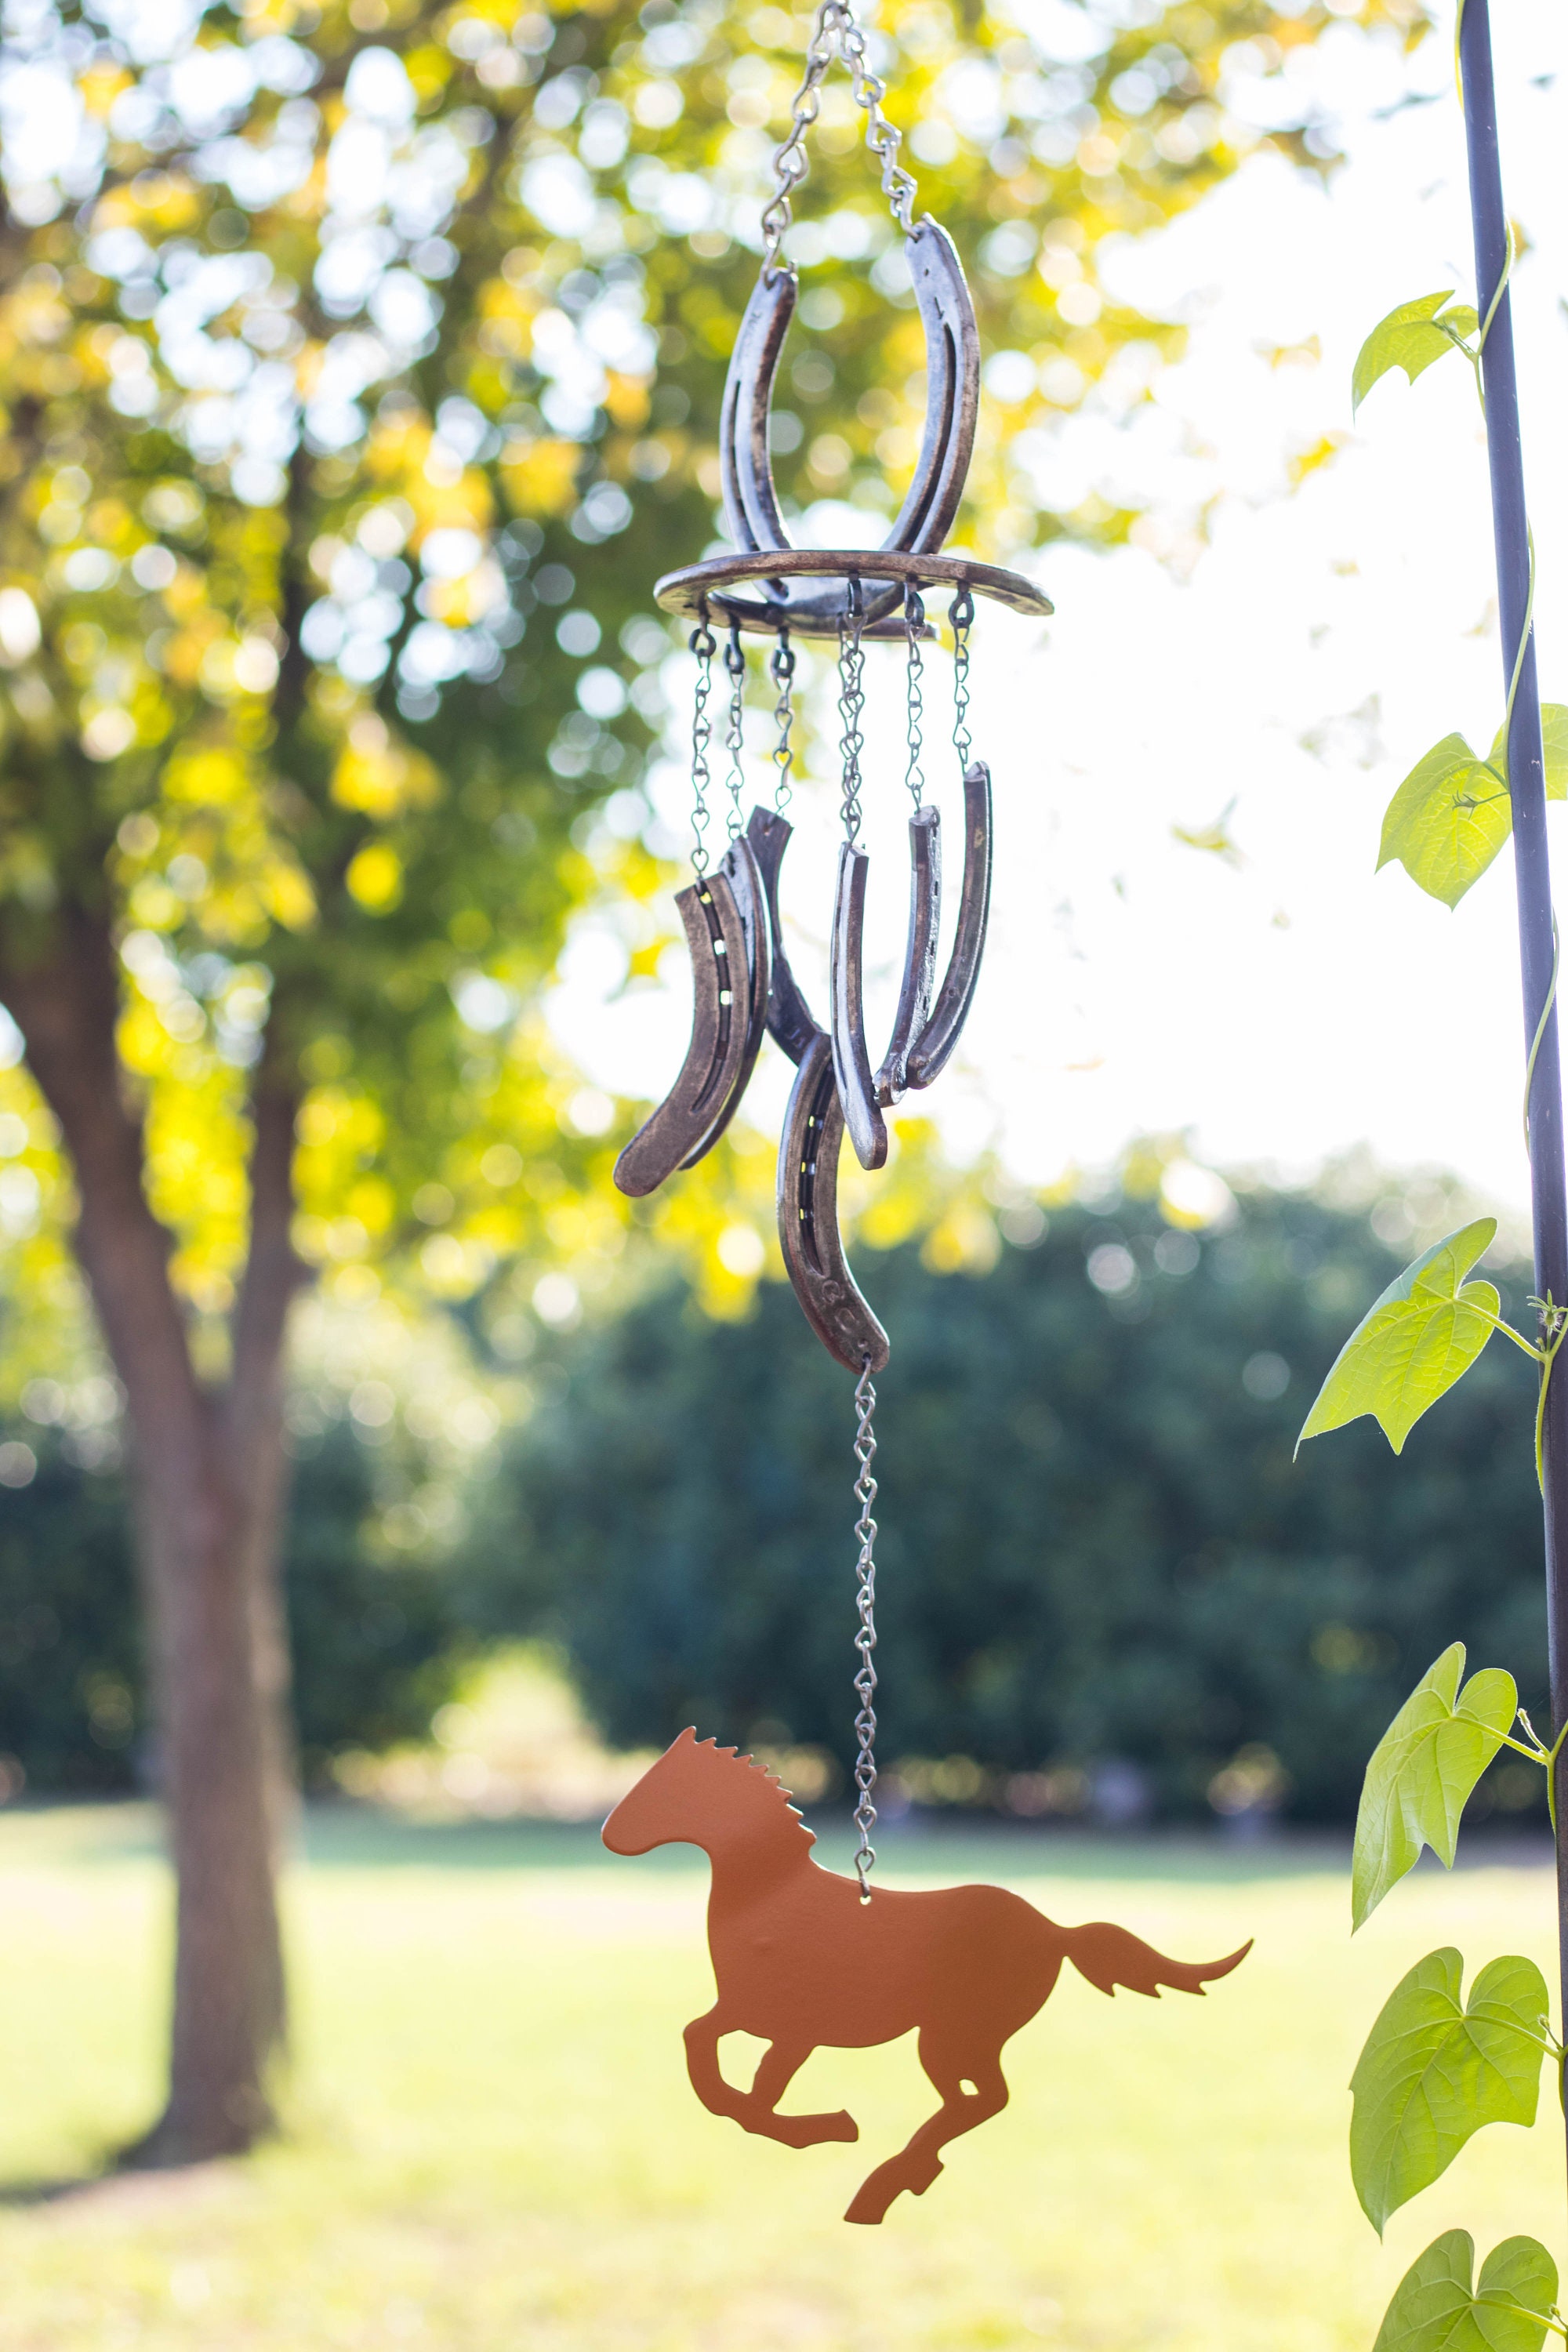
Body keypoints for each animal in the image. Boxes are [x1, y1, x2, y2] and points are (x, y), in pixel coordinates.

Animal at [603, 1728, 1252, 2224]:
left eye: (664, 1787)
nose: (609, 1835)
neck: (768, 1894)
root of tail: (1053, 1930)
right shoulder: (772, 2023)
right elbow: (722, 2060)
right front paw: (815, 2126)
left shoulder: (785, 2023)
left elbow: (734, 2073)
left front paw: (830, 2127)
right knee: (977, 2102)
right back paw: (897, 2179)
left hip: (955, 2035)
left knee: (984, 2099)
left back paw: (888, 2182)